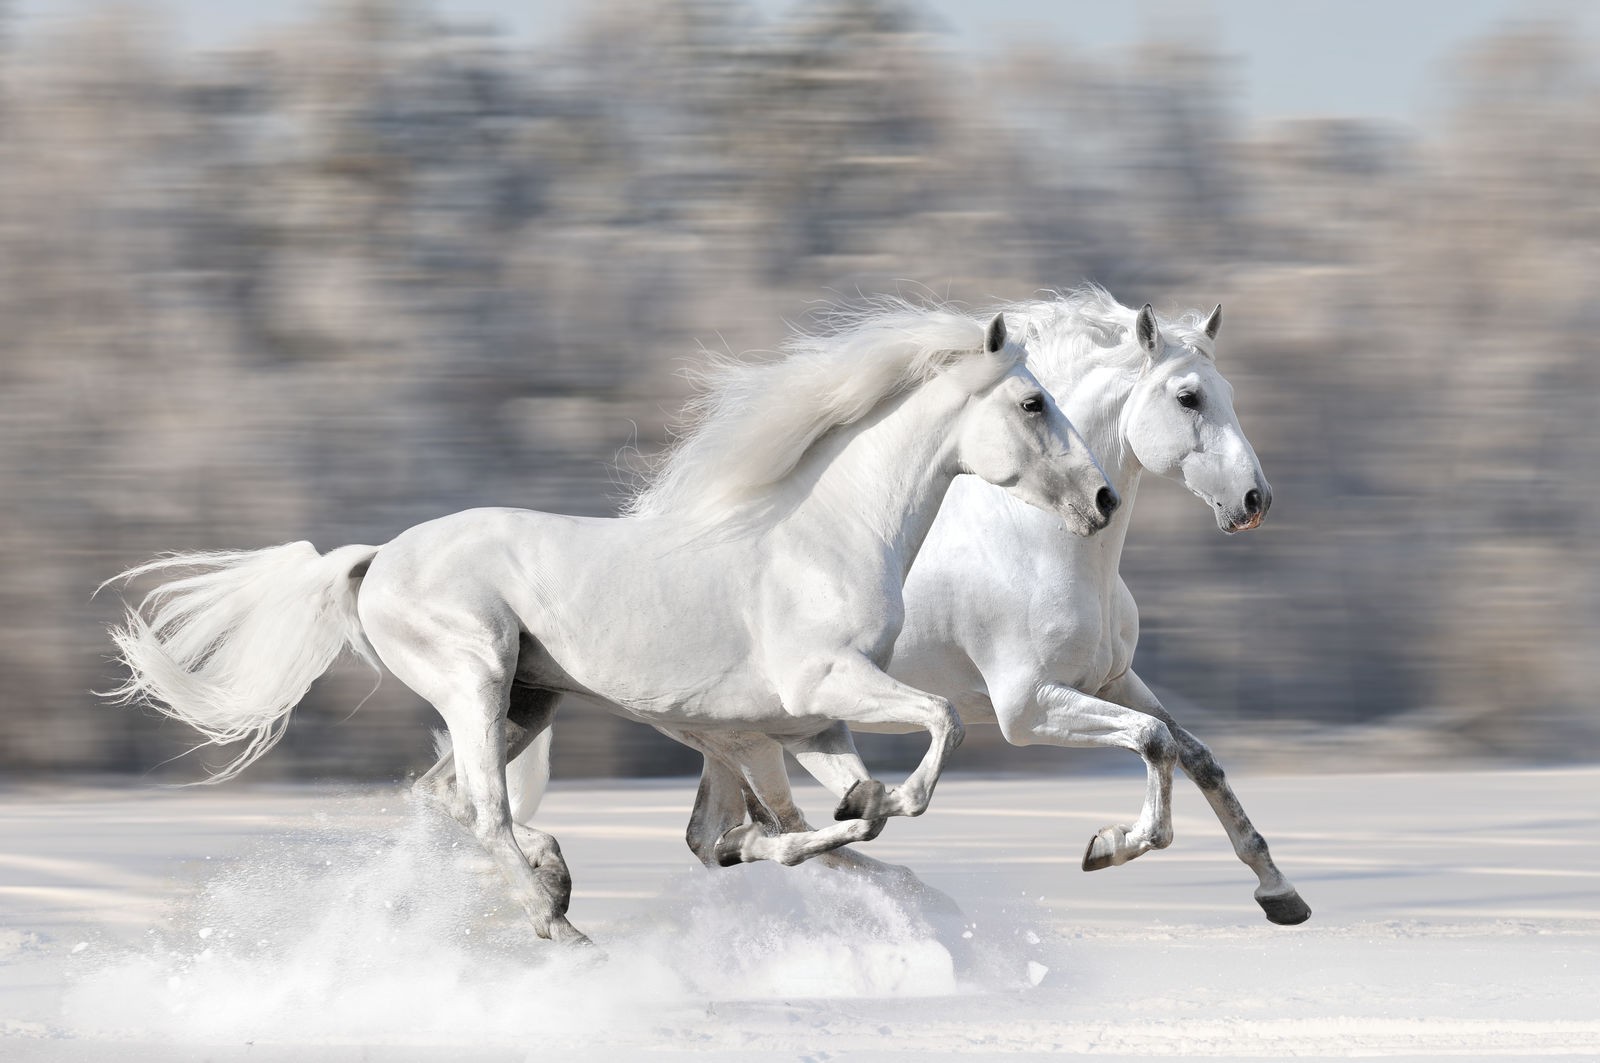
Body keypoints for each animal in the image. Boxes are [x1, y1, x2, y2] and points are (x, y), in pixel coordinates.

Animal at [106, 308, 1120, 947]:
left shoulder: (805, 725)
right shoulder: (815, 695)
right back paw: (557, 917)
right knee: (481, 808)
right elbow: (927, 738)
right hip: (477, 679)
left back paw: (555, 876)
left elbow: (803, 820)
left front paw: (852, 819)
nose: (1105, 498)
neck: (822, 536)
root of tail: (376, 559)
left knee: (445, 799)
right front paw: (885, 805)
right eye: (1033, 403)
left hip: (530, 701)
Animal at [512, 286, 1312, 928]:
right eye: (1188, 397)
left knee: (722, 838)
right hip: (743, 734)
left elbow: (1193, 753)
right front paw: (1111, 846)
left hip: (732, 737)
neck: (1040, 540)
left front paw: (1279, 892)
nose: (1254, 500)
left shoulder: (1111, 679)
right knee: (755, 831)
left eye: (1227, 390)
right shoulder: (1028, 708)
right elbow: (1152, 742)